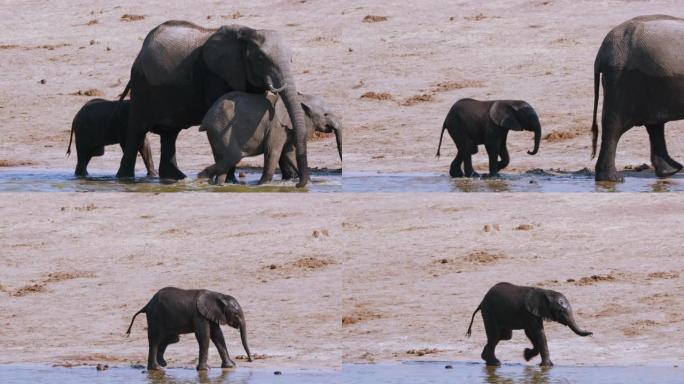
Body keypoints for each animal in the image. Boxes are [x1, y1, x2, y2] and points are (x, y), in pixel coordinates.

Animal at [117, 19, 310, 188]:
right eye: (261, 58)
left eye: (291, 59)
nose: (299, 184)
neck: (248, 33)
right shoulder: (215, 75)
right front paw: (231, 181)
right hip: (142, 84)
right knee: (137, 130)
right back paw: (126, 179)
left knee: (170, 133)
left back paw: (174, 178)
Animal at [198, 91, 342, 184]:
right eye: (326, 114)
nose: (298, 184)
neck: (301, 98)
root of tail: (205, 119)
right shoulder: (276, 126)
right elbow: (273, 151)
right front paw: (262, 184)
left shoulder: (286, 129)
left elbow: (288, 154)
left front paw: (310, 182)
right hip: (221, 129)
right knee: (234, 156)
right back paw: (202, 176)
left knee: (224, 158)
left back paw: (218, 184)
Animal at [464, 282, 592, 366]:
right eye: (561, 311)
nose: (591, 333)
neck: (545, 292)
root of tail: (481, 301)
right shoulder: (530, 313)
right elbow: (538, 333)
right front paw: (547, 366)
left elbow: (531, 333)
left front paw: (526, 355)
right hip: (489, 311)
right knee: (495, 335)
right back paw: (495, 363)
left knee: (504, 336)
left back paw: (485, 358)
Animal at [592, 15, 684, 182]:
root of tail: (601, 54)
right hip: (621, 80)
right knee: (614, 127)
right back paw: (613, 179)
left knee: (654, 125)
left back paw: (670, 171)